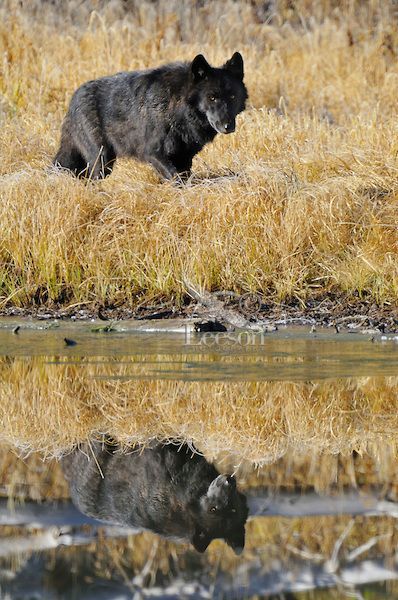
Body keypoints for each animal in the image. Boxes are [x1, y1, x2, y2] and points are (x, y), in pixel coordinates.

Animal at [52, 52, 246, 179]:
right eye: (212, 97)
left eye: (232, 97)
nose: (228, 126)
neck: (176, 111)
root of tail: (73, 99)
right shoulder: (153, 153)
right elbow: (176, 178)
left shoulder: (184, 157)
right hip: (102, 160)